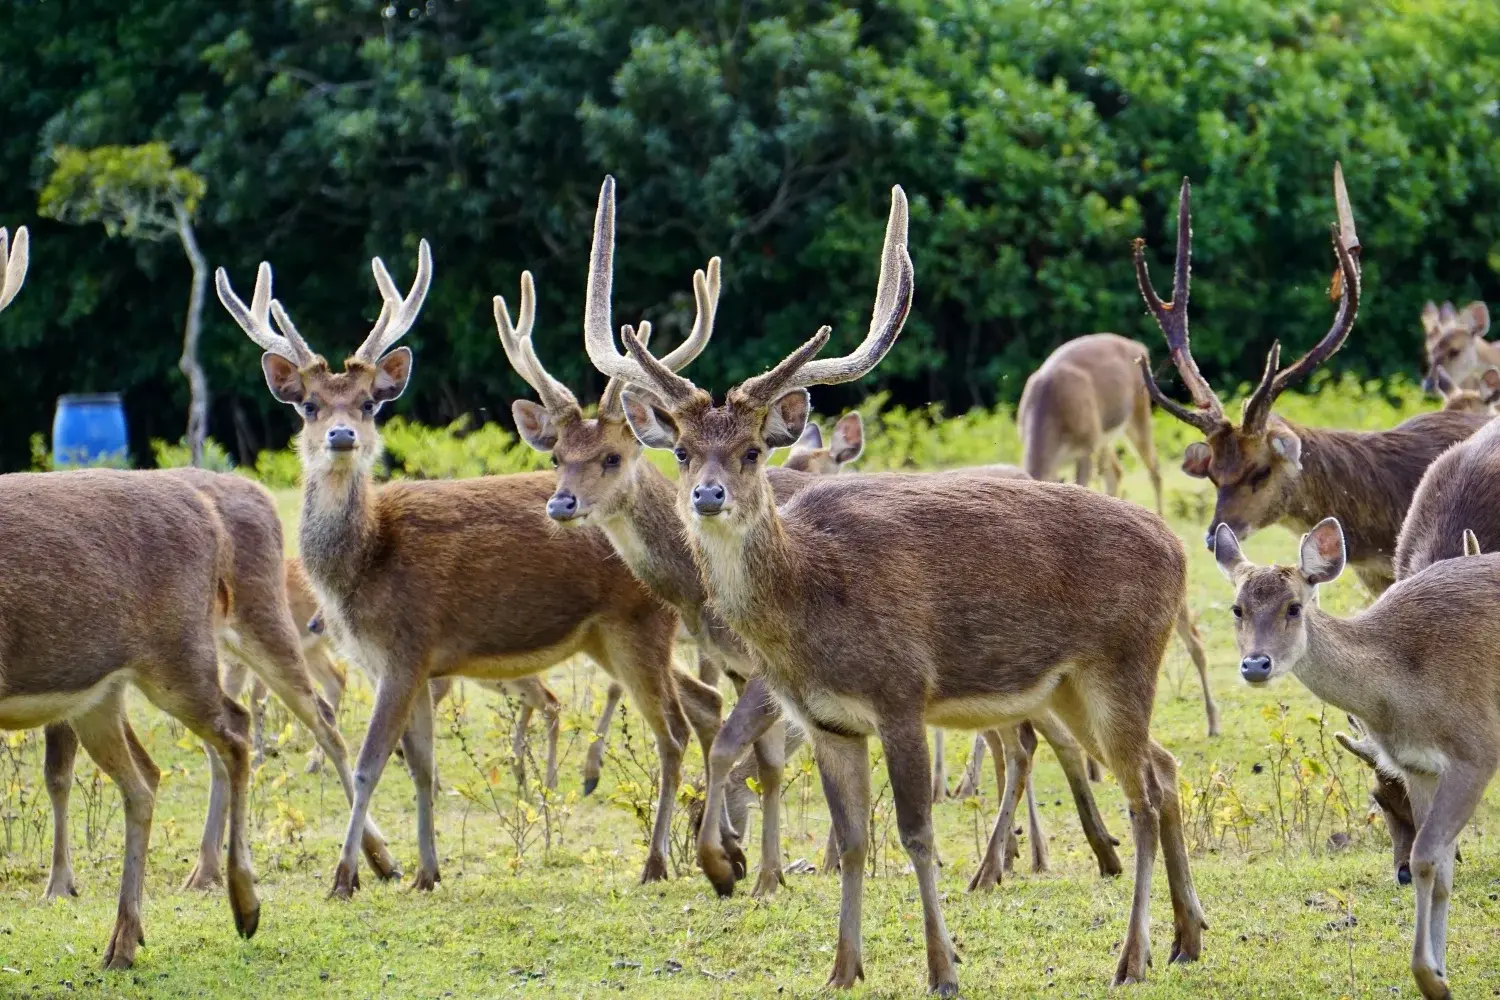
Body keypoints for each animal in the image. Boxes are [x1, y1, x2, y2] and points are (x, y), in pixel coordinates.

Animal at [42, 470, 399, 901]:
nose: (317, 621)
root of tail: (259, 493)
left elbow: (60, 774)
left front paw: (60, 884)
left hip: (255, 637)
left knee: (309, 713)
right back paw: (209, 868)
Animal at [218, 240, 722, 893]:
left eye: (369, 404)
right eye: (308, 405)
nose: (341, 435)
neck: (363, 565)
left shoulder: (407, 648)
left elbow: (369, 764)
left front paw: (347, 877)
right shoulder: (409, 665)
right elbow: (422, 768)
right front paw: (426, 872)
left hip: (639, 624)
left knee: (673, 730)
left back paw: (658, 861)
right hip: (609, 639)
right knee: (705, 705)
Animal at [586, 182, 1205, 992]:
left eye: (752, 451)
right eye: (684, 450)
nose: (708, 495)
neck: (812, 601)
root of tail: (1178, 550)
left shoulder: (903, 694)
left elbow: (916, 832)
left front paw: (942, 968)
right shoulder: (828, 721)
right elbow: (851, 839)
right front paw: (843, 968)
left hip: (1124, 662)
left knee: (1142, 792)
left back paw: (1132, 957)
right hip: (1072, 685)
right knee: (1165, 766)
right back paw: (1188, 937)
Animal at [1214, 518, 1499, 1000]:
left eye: (1294, 607)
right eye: (1237, 609)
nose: (1255, 665)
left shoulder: (1476, 750)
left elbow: (1424, 855)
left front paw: (1430, 978)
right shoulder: (1418, 767)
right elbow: (1439, 870)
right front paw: (1439, 977)